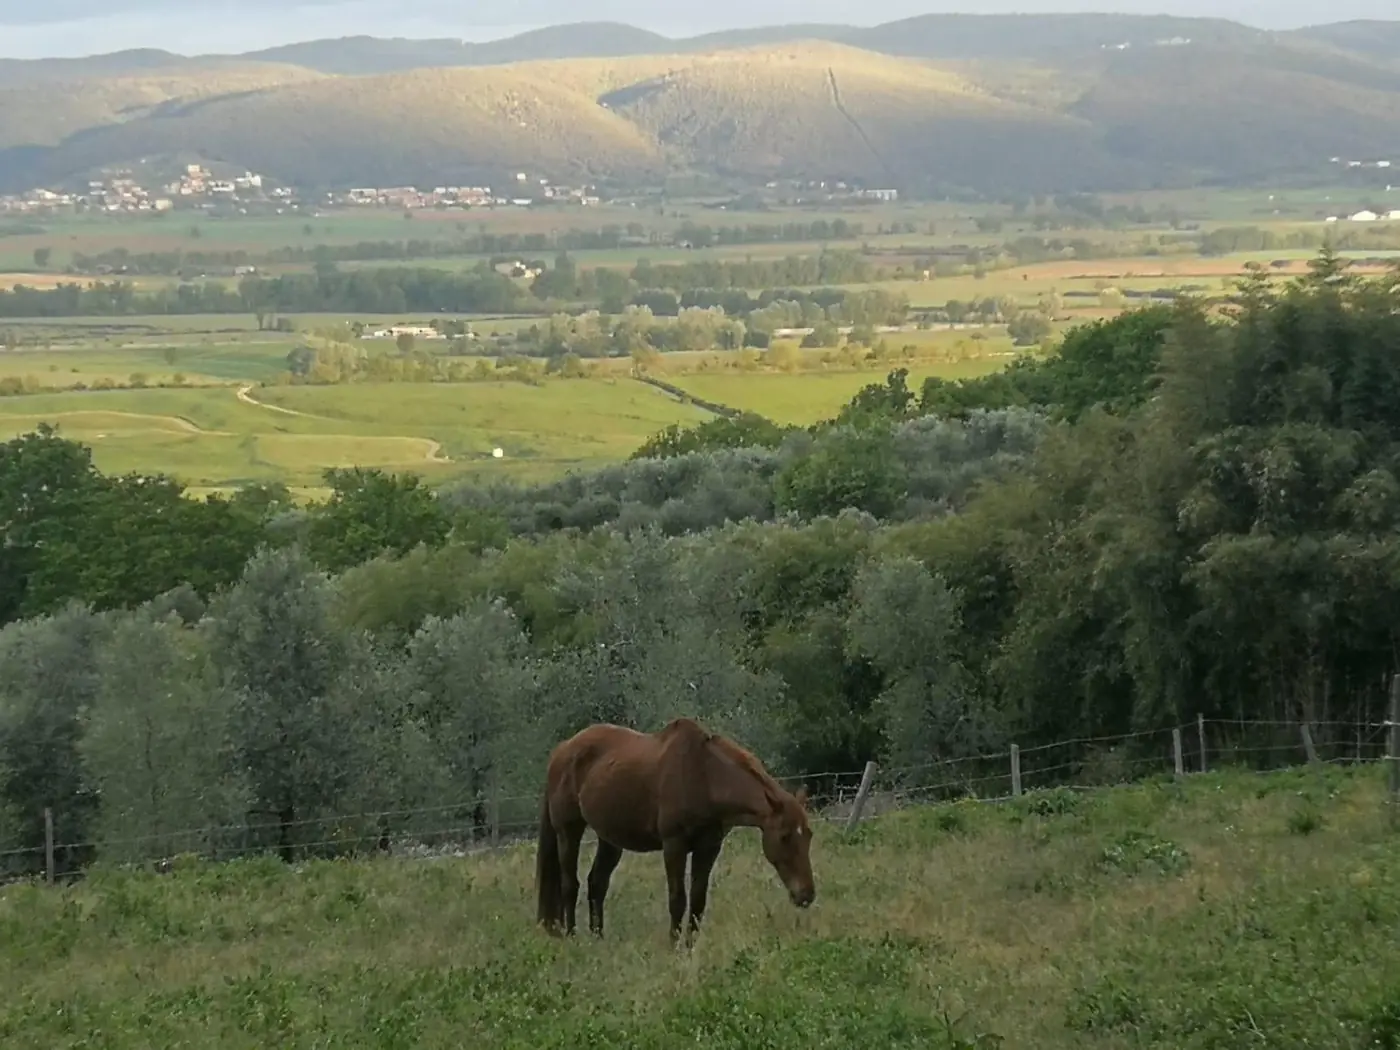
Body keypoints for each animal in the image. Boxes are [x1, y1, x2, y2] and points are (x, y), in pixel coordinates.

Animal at [534, 716, 816, 944]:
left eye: (808, 836)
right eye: (784, 836)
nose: (806, 895)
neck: (704, 776)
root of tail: (562, 750)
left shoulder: (708, 848)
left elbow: (698, 900)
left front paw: (690, 946)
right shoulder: (674, 845)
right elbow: (677, 899)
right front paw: (673, 945)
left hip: (610, 839)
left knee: (597, 884)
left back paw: (598, 939)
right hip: (568, 831)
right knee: (570, 885)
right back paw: (572, 938)